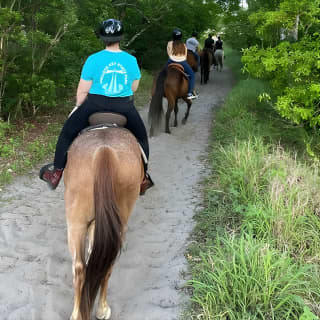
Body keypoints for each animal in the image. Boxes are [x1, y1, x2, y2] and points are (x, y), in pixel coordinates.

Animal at [63, 114, 144, 318]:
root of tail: (104, 152)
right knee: (104, 265)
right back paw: (100, 310)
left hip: (76, 224)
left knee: (80, 268)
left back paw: (83, 313)